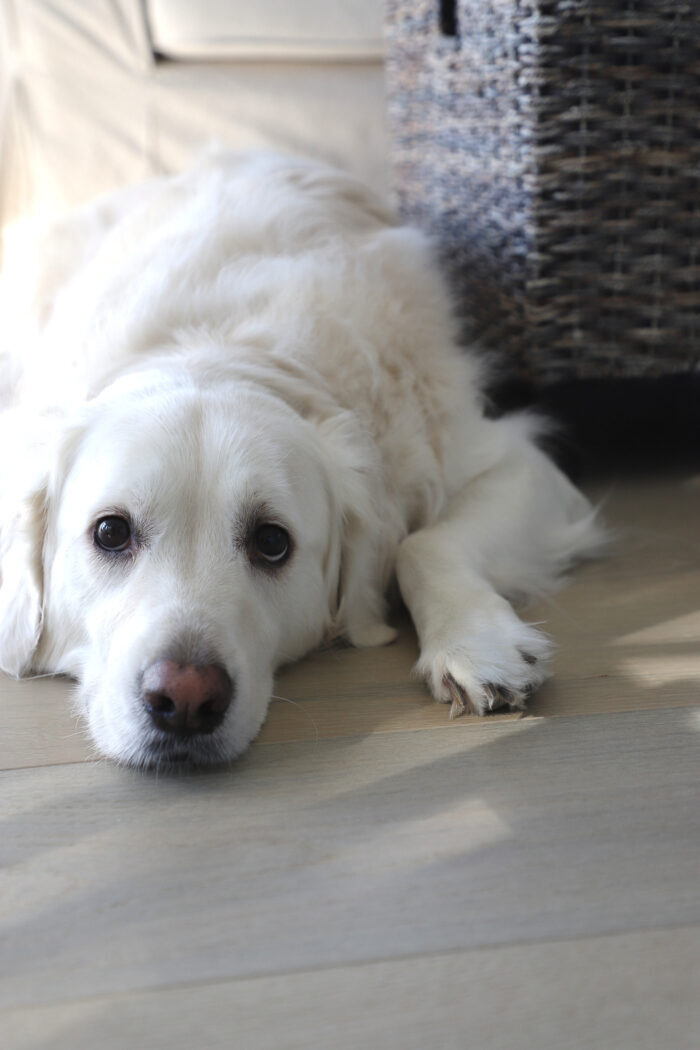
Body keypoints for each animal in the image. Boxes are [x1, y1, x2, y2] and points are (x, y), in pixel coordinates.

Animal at [0, 152, 604, 768]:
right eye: (110, 532)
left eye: (272, 542)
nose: (186, 698)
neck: (221, 345)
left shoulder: (514, 460)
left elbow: (419, 544)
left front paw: (477, 645)